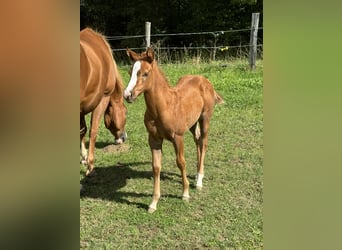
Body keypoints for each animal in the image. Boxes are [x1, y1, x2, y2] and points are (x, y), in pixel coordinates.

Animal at [80, 27, 127, 176]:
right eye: (126, 112)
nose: (123, 137)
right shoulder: (103, 98)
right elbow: (92, 130)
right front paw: (89, 164)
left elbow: (82, 130)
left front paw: (83, 157)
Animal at [124, 47, 223, 213]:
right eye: (130, 71)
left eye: (145, 73)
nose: (127, 95)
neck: (163, 107)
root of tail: (204, 80)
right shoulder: (154, 139)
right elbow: (156, 167)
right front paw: (153, 203)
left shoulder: (178, 137)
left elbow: (181, 162)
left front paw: (185, 194)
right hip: (192, 124)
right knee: (197, 141)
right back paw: (197, 175)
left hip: (205, 118)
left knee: (204, 143)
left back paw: (199, 180)